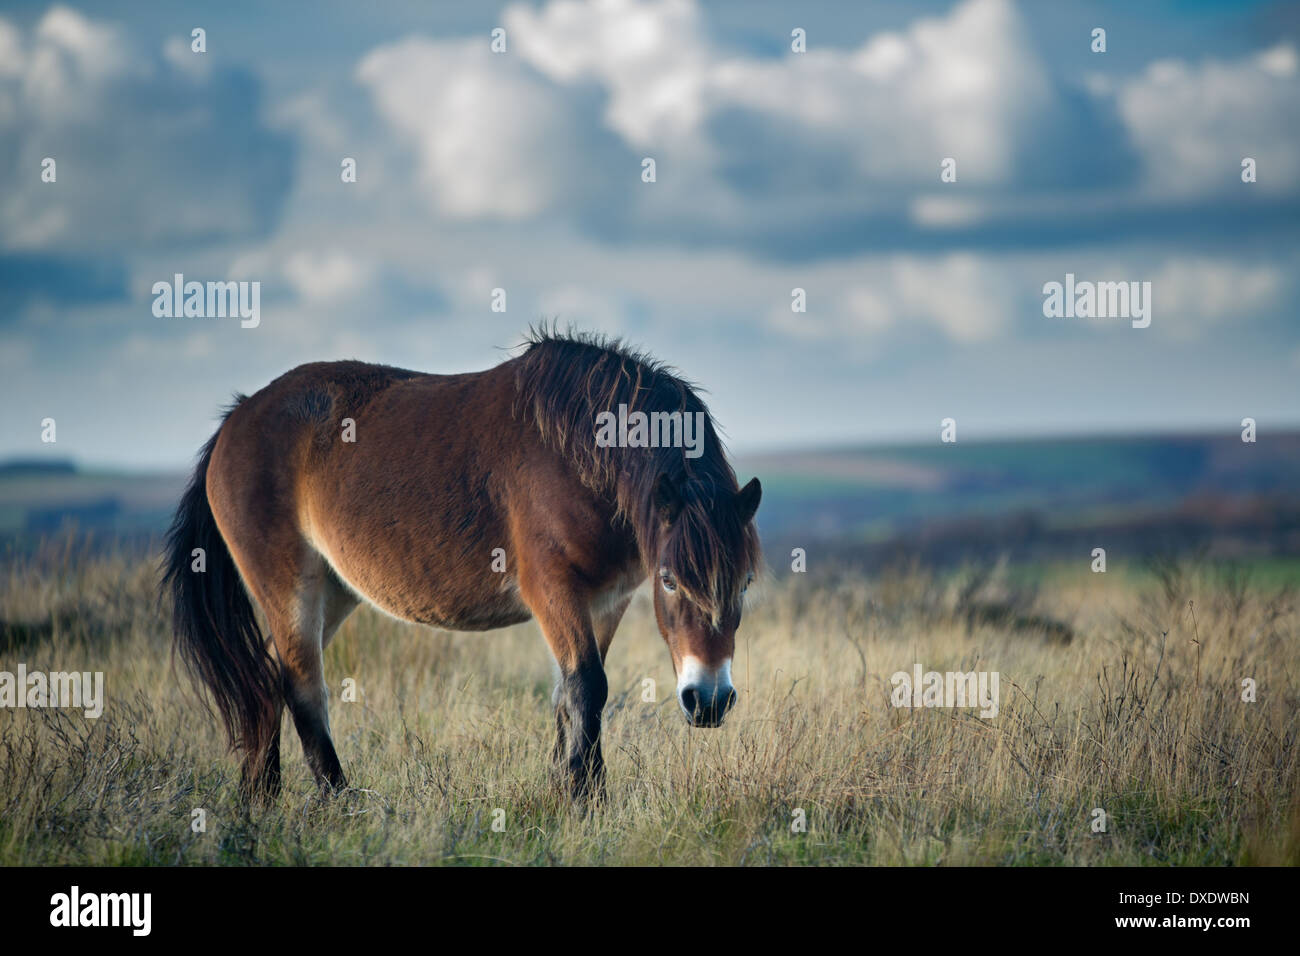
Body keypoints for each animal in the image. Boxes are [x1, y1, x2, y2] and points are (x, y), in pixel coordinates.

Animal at [162, 330, 762, 801]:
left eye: (746, 583)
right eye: (670, 581)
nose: (709, 701)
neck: (580, 454)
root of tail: (237, 417)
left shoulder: (605, 600)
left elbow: (567, 698)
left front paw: (564, 790)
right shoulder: (553, 589)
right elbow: (587, 687)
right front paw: (586, 799)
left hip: (332, 591)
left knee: (266, 679)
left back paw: (259, 797)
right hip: (290, 587)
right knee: (303, 689)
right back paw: (339, 802)